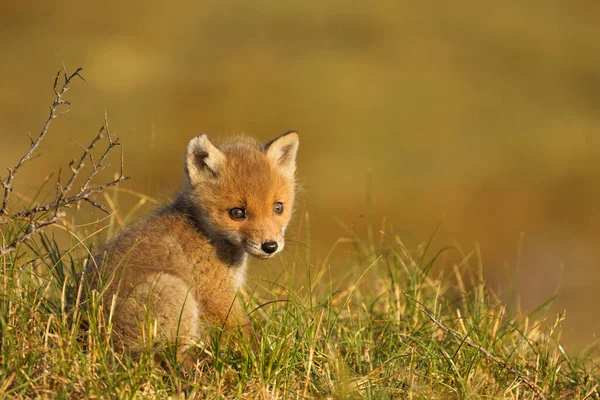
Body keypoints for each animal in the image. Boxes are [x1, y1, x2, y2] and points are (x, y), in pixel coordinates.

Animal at [86, 132, 298, 362]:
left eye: (278, 208)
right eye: (237, 213)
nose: (270, 246)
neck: (205, 233)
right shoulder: (214, 293)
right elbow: (243, 332)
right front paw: (260, 355)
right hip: (173, 291)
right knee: (171, 355)